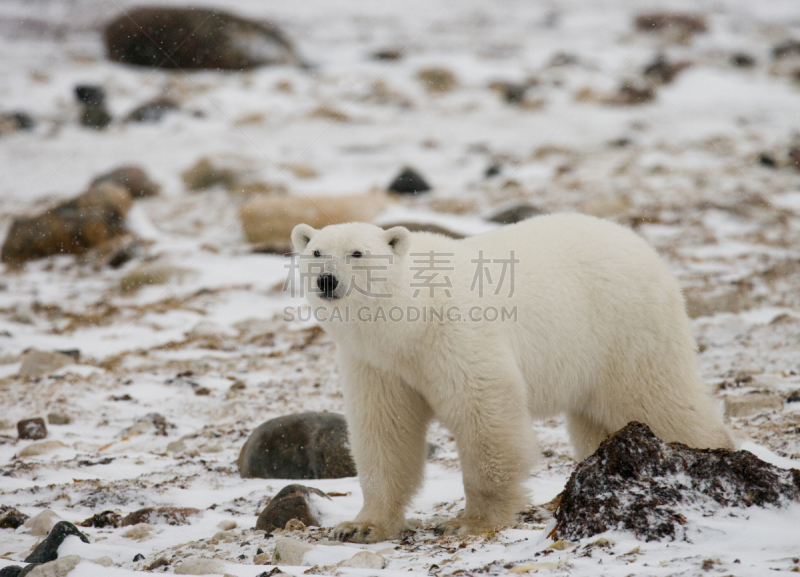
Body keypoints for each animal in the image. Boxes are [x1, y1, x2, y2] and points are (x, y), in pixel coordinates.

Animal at [290, 212, 736, 540]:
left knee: (658, 398)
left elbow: (484, 414)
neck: (409, 324)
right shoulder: (378, 365)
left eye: (357, 253)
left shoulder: (456, 333)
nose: (326, 280)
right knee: (596, 419)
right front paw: (360, 526)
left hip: (624, 328)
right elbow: (384, 430)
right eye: (315, 251)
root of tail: (643, 247)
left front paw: (469, 521)